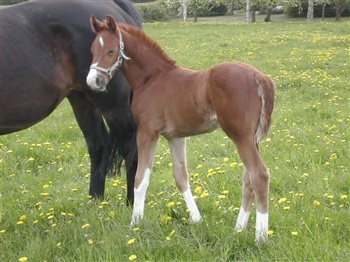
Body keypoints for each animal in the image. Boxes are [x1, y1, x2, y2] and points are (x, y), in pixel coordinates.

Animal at [86, 15, 274, 242]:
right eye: (93, 50)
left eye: (111, 51)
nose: (93, 81)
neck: (152, 78)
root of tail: (260, 77)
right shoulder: (175, 136)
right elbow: (181, 177)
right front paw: (196, 219)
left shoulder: (148, 132)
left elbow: (141, 178)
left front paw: (135, 224)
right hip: (251, 139)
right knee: (248, 179)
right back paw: (238, 229)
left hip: (241, 137)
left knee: (259, 175)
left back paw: (260, 237)